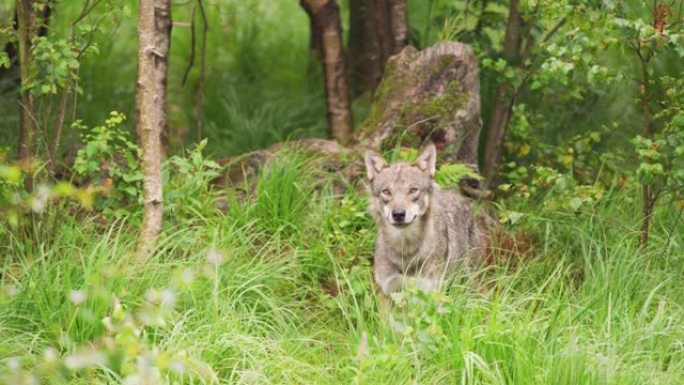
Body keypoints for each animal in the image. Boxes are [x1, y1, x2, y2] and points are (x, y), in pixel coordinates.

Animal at [366, 144, 484, 294]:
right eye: (386, 191)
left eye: (413, 190)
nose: (398, 214)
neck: (405, 249)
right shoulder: (387, 287)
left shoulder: (430, 289)